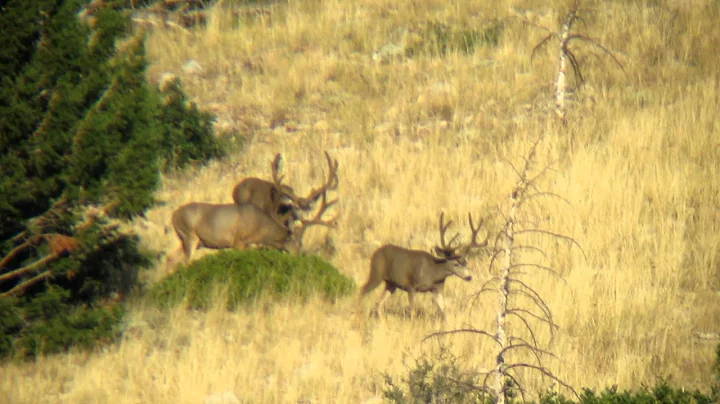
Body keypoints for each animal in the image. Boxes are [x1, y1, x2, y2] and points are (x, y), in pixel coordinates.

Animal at [167, 190, 338, 269]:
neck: (260, 227)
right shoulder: (238, 241)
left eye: (301, 244)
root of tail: (173, 216)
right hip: (189, 236)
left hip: (188, 240)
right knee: (185, 260)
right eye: (294, 243)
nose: (297, 258)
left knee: (170, 258)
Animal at [359, 212, 488, 320]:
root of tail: (375, 253)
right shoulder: (410, 285)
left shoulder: (436, 289)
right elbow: (412, 311)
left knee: (379, 303)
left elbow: (444, 311)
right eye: (455, 264)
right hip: (376, 274)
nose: (469, 277)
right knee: (363, 290)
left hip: (391, 284)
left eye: (465, 262)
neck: (434, 272)